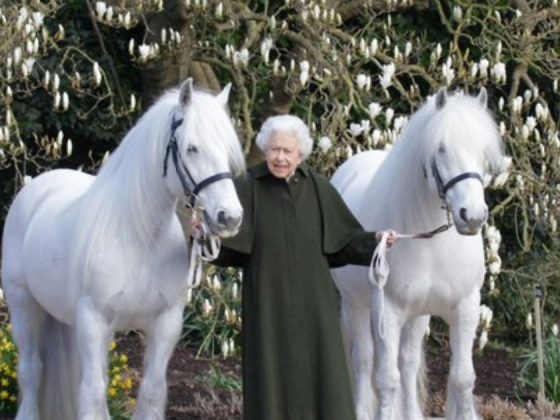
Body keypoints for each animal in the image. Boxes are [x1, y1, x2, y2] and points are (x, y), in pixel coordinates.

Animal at [1, 78, 245, 420]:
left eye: (226, 150)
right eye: (191, 148)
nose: (230, 217)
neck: (139, 239)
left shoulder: (165, 325)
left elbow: (151, 390)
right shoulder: (94, 322)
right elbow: (93, 392)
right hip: (23, 304)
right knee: (31, 370)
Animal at [331, 88, 506, 420]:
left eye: (483, 150)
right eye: (441, 148)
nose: (473, 216)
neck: (431, 243)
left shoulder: (465, 307)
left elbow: (463, 378)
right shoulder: (386, 310)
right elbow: (387, 380)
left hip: (418, 315)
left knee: (408, 362)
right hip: (355, 305)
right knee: (364, 361)